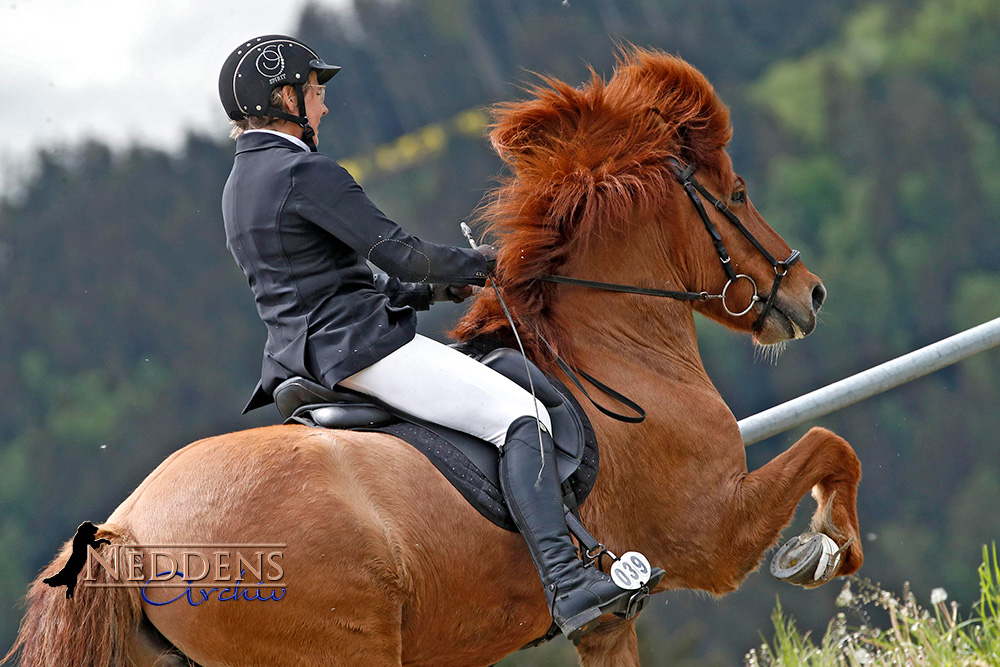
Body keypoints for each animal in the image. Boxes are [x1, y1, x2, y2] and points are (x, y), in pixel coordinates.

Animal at [1, 48, 860, 667]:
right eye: (737, 193)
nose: (812, 293)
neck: (614, 353)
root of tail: (129, 535)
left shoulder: (615, 622)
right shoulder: (712, 530)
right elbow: (830, 444)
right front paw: (826, 547)